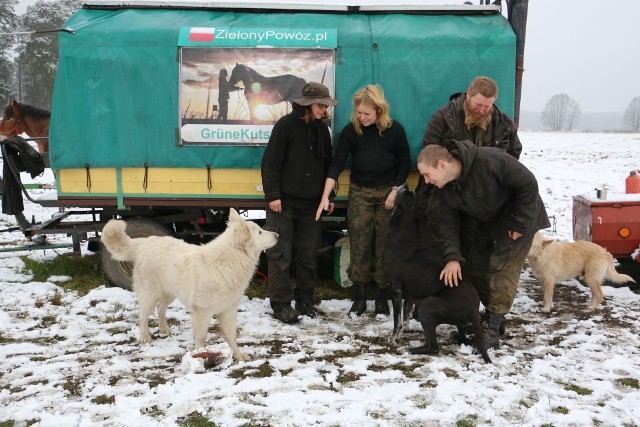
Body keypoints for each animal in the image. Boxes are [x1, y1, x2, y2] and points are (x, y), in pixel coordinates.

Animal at [100, 210, 278, 362]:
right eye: (260, 232)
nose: (277, 235)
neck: (228, 262)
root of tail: (145, 242)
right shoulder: (202, 312)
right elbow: (201, 338)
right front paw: (199, 356)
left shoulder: (228, 311)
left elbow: (232, 337)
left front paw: (239, 356)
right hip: (149, 295)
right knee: (143, 316)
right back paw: (145, 337)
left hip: (169, 293)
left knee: (160, 308)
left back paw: (164, 328)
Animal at [380, 185, 490, 364]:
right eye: (413, 196)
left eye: (405, 194)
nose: (407, 186)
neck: (405, 233)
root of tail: (474, 308)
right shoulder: (409, 292)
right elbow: (406, 313)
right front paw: (404, 331)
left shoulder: (396, 288)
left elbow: (398, 320)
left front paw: (394, 338)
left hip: (426, 307)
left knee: (433, 347)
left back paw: (408, 350)